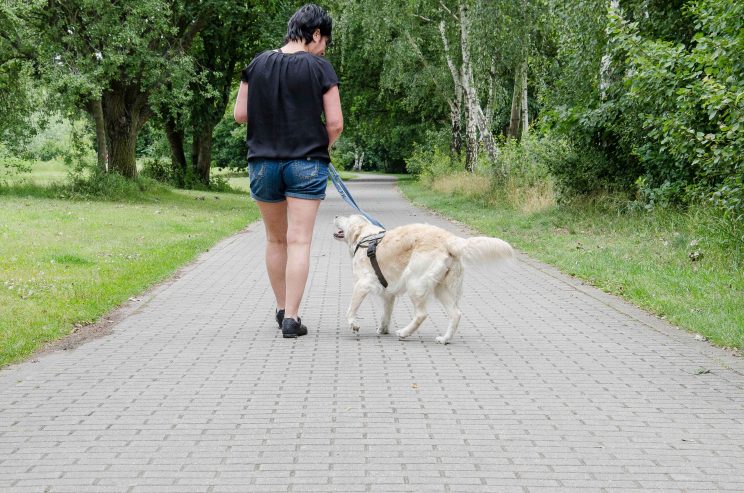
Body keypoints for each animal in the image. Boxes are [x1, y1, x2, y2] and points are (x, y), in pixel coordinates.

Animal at [334, 213, 516, 344]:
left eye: (347, 218)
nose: (336, 217)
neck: (365, 238)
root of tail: (449, 239)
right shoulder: (388, 293)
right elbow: (386, 313)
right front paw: (383, 329)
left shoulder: (362, 284)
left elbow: (350, 310)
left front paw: (354, 325)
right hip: (441, 288)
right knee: (456, 314)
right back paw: (444, 339)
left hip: (415, 283)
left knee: (421, 314)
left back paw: (404, 333)